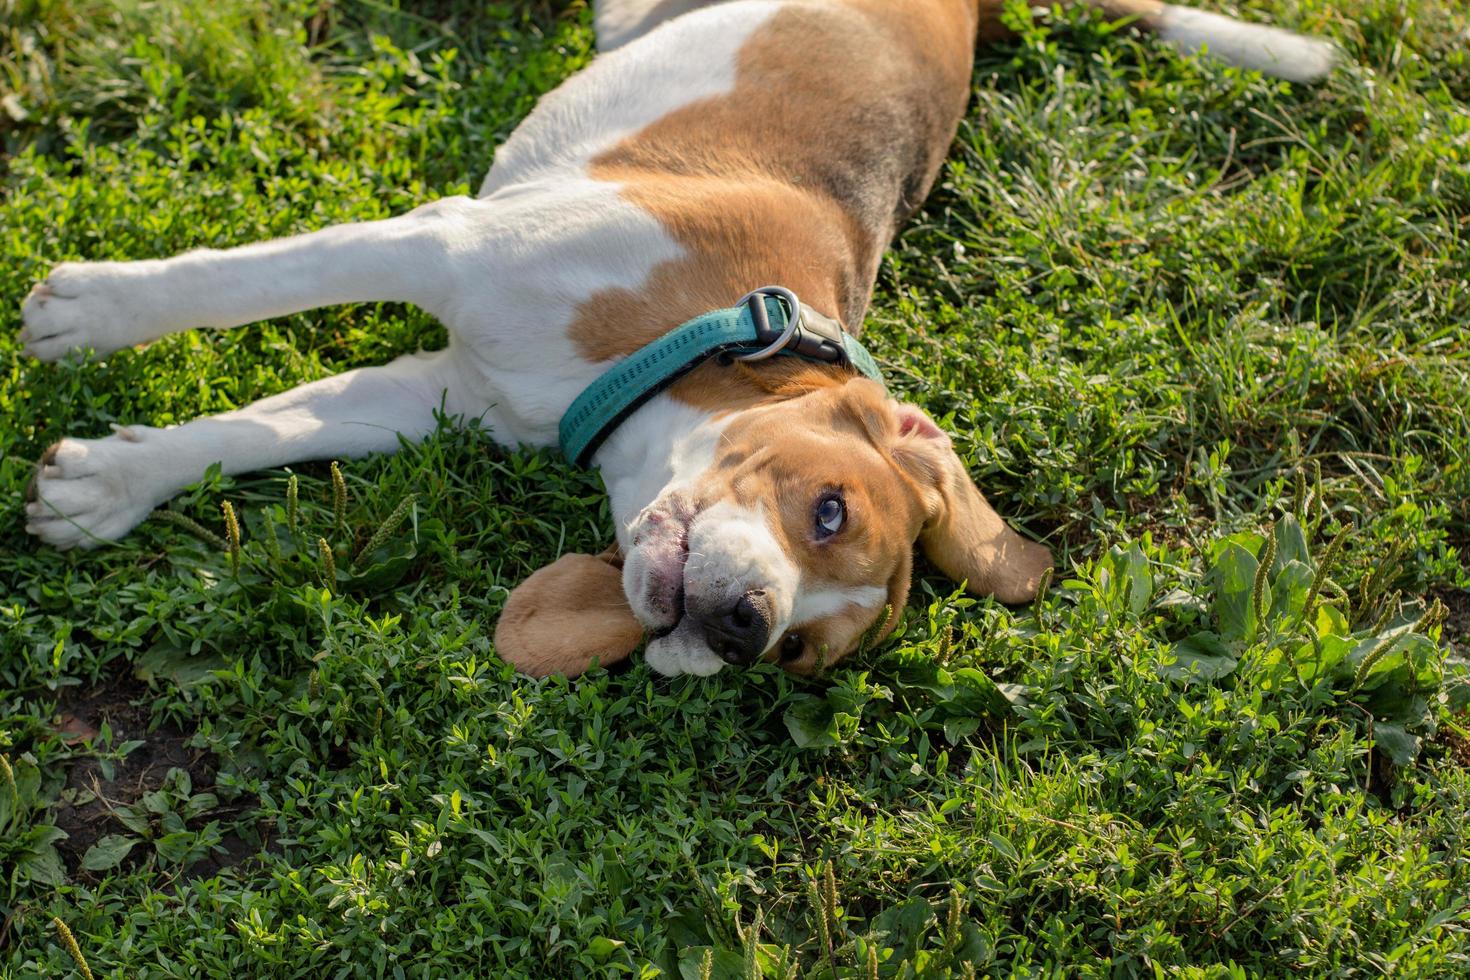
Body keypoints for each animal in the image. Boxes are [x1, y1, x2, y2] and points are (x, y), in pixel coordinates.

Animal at [20, 0, 1334, 675]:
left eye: (804, 657)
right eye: (828, 510)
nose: (746, 628)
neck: (686, 345)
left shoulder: (443, 389)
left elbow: (266, 429)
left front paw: (108, 485)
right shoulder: (449, 243)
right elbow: (240, 281)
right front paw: (89, 309)